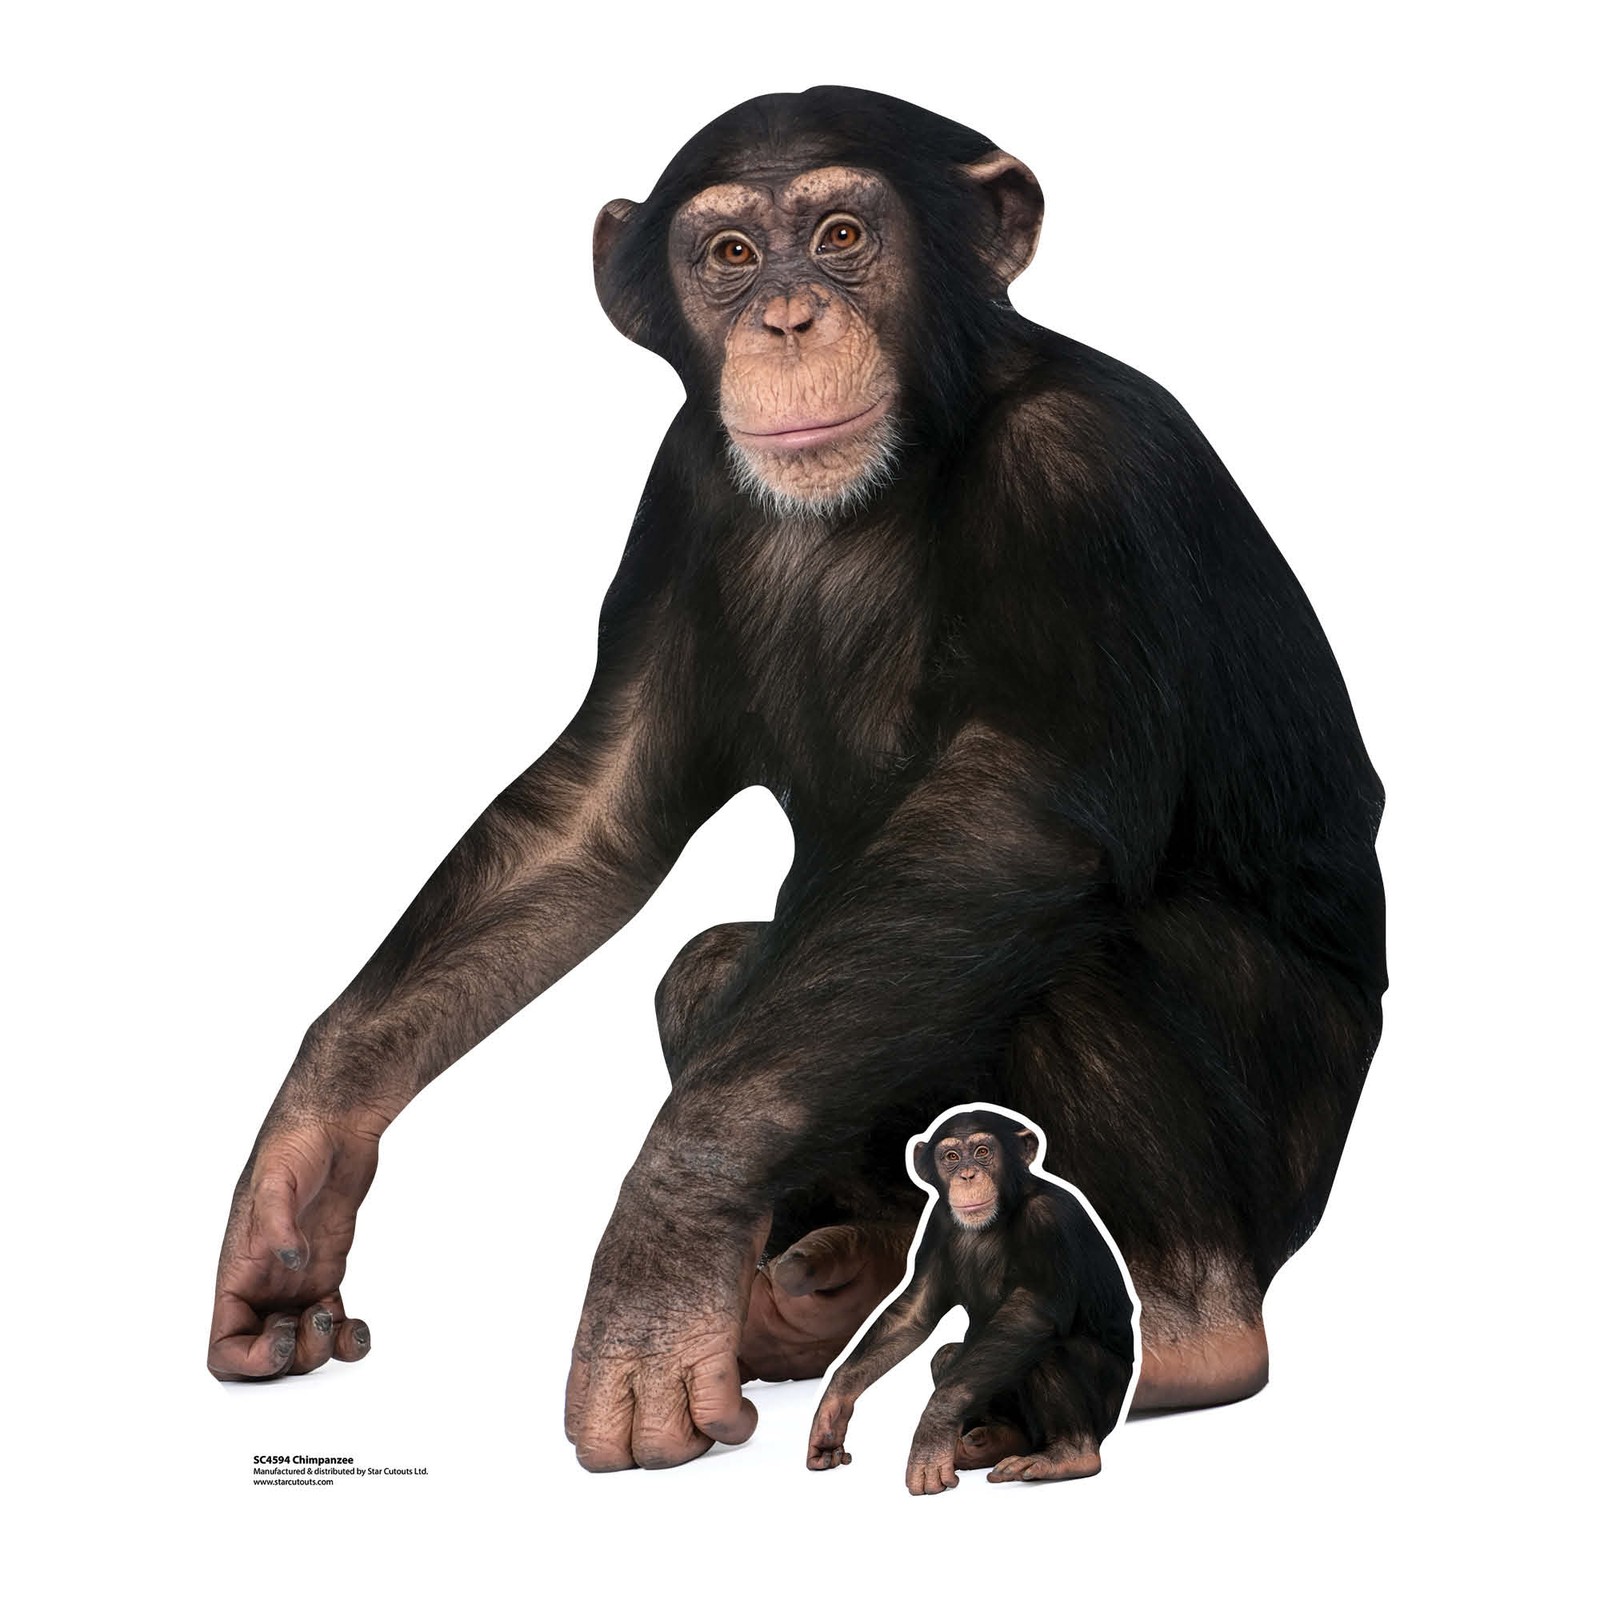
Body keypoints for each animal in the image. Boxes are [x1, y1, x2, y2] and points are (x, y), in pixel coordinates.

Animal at [808, 1107, 1137, 1493]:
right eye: (951, 1157)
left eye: (982, 1152)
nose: (967, 1174)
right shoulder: (936, 1223)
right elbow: (914, 1313)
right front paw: (832, 1410)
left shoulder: (1048, 1219)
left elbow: (1032, 1313)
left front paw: (932, 1430)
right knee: (947, 1356)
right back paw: (993, 1442)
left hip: (1109, 1406)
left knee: (1046, 1347)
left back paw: (1069, 1455)